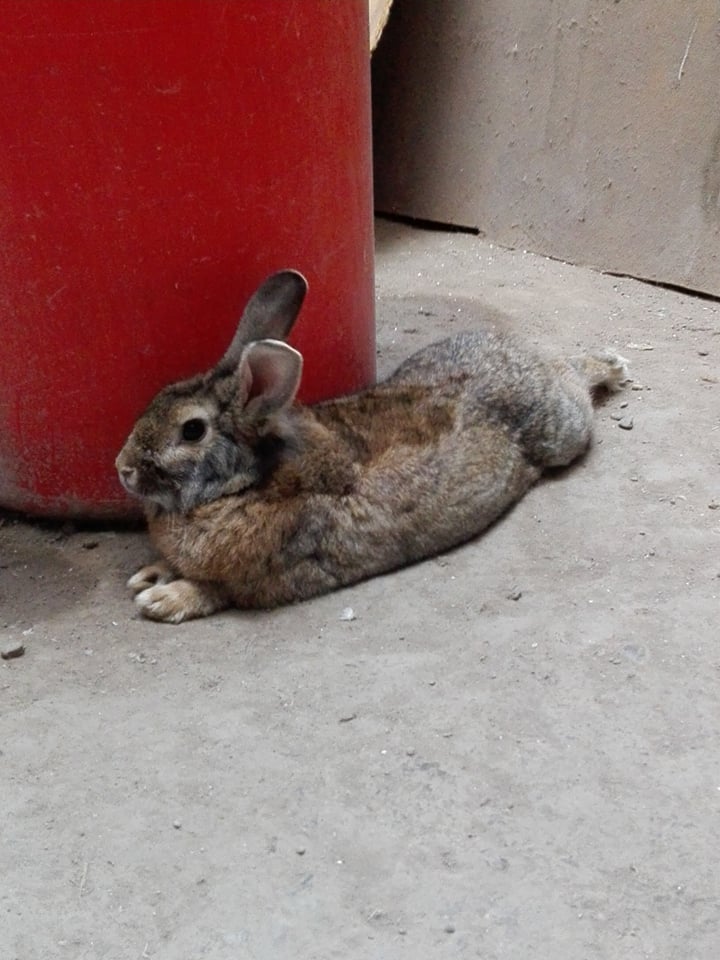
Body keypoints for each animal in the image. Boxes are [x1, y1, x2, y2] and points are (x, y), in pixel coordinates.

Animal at [116, 269, 629, 623]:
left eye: (192, 431)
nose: (122, 467)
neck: (246, 484)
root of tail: (531, 360)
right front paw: (150, 574)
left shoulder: (262, 578)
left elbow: (213, 592)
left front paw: (161, 599)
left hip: (564, 430)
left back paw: (610, 366)